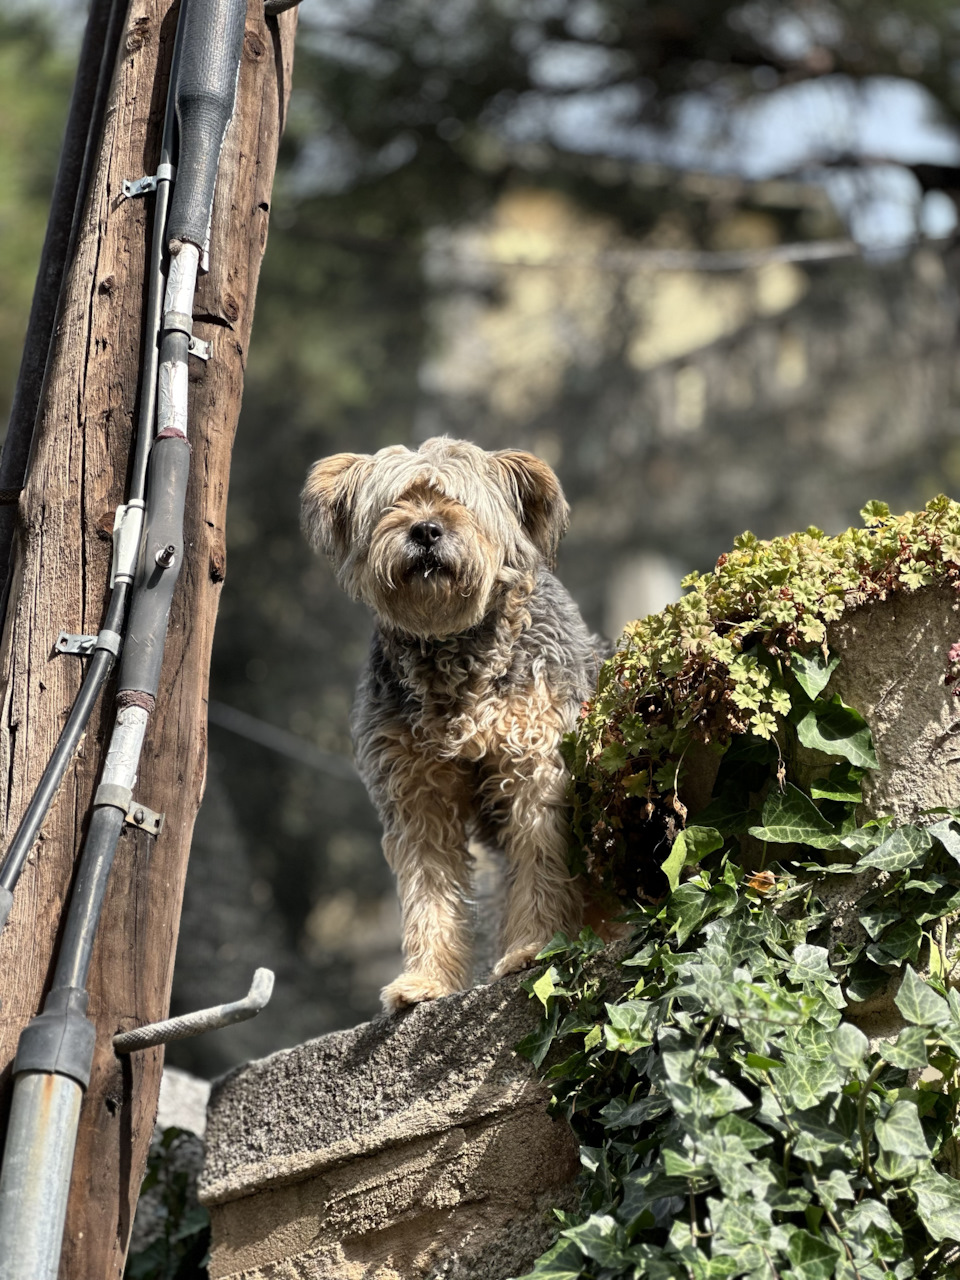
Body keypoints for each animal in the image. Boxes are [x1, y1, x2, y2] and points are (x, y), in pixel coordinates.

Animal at [300, 435, 604, 1013]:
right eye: (397, 501)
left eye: (459, 501)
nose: (425, 530)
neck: (454, 653)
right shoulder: (415, 794)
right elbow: (429, 892)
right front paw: (426, 981)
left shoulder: (538, 770)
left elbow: (540, 864)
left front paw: (532, 950)